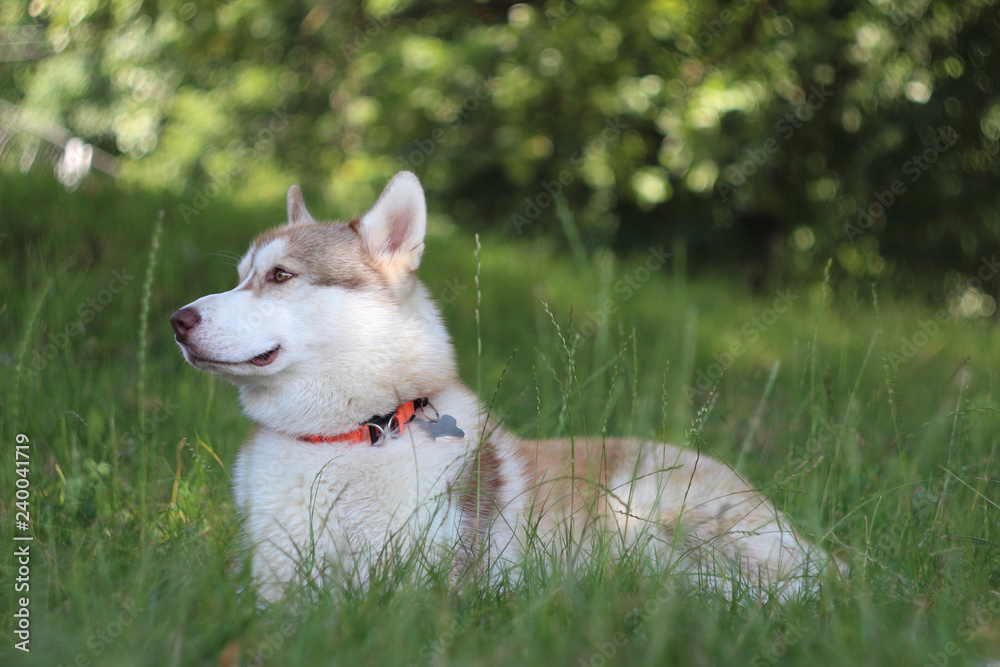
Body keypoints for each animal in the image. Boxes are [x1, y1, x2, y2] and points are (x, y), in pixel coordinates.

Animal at [170, 170, 828, 604]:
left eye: (281, 276)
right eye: (241, 277)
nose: (177, 320)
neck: (350, 437)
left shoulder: (425, 583)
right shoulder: (268, 579)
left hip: (643, 515)